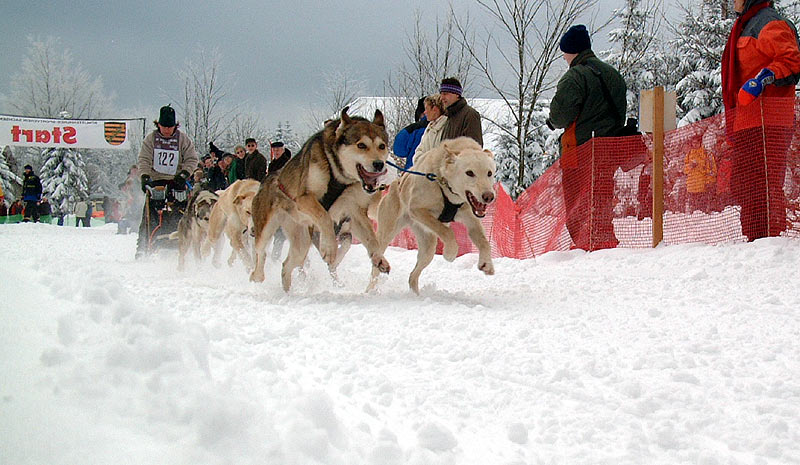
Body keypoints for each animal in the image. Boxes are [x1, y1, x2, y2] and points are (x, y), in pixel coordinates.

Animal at [248, 109, 390, 290]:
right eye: (361, 145)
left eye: (382, 146)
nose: (379, 164)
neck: (339, 176)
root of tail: (267, 179)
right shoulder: (305, 198)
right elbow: (325, 217)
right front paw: (329, 248)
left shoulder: (355, 211)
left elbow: (372, 239)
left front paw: (378, 258)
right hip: (265, 230)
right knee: (260, 254)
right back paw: (257, 276)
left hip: (301, 242)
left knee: (287, 266)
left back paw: (288, 293)